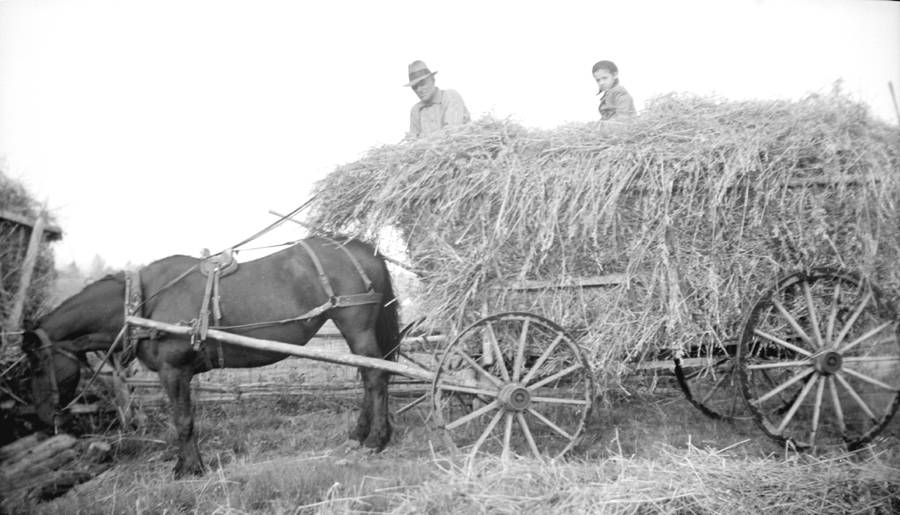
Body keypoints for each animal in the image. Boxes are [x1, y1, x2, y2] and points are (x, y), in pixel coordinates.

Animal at [19, 238, 400, 480]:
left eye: (37, 365)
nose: (43, 419)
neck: (143, 304)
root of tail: (362, 247)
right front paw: (186, 465)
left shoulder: (174, 371)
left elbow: (184, 421)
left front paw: (189, 469)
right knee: (369, 377)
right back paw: (359, 435)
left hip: (357, 327)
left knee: (376, 378)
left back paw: (376, 440)